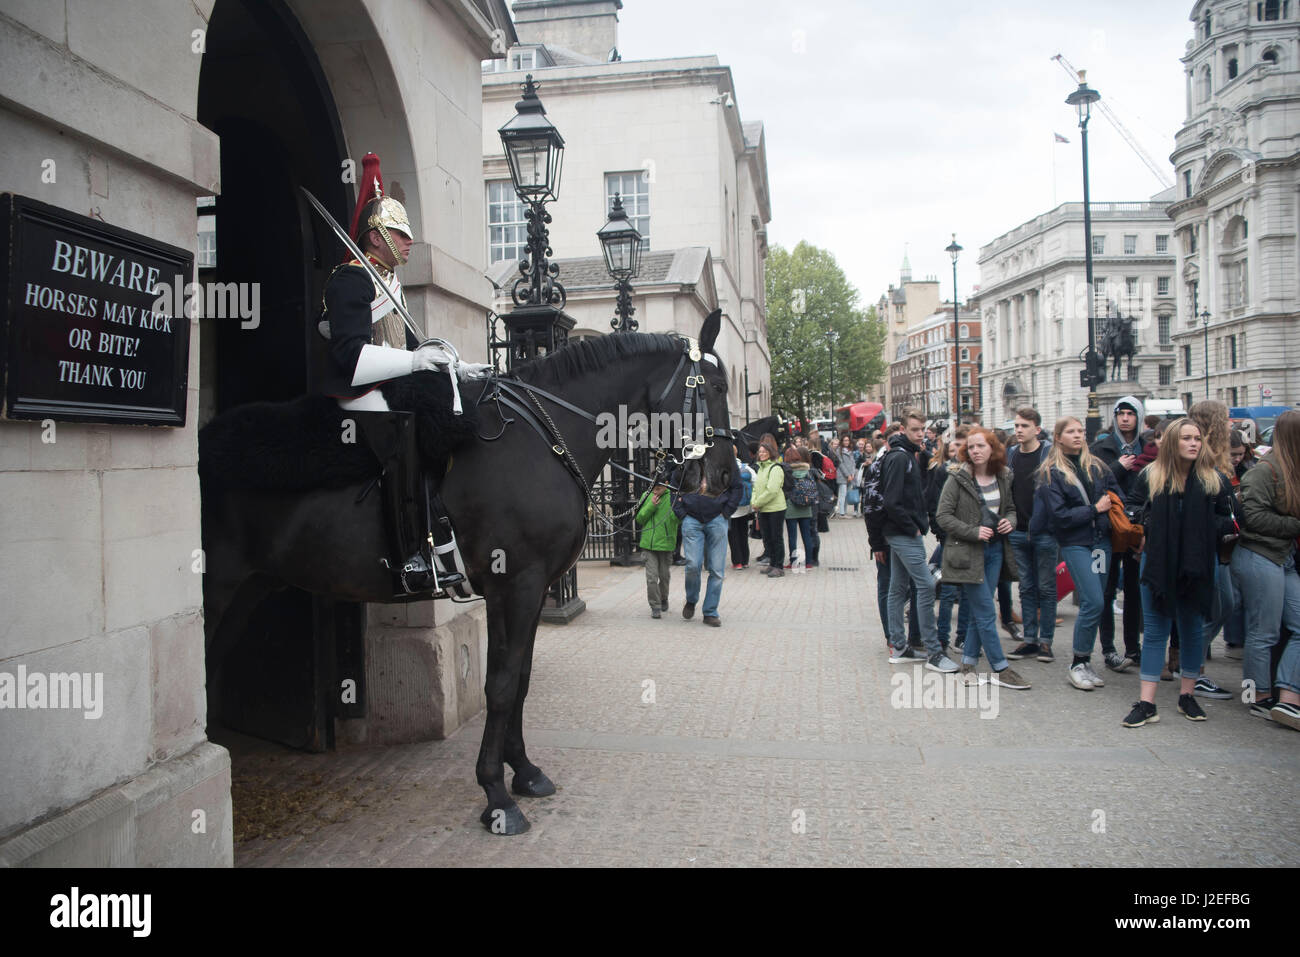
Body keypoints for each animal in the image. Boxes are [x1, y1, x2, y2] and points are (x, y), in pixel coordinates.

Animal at [200, 312, 733, 832]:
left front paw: (524, 772)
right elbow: (499, 684)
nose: (725, 476)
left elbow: (519, 678)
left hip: (248, 589)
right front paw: (496, 795)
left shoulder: (527, 588)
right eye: (714, 386)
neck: (544, 438)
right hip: (217, 587)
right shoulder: (514, 583)